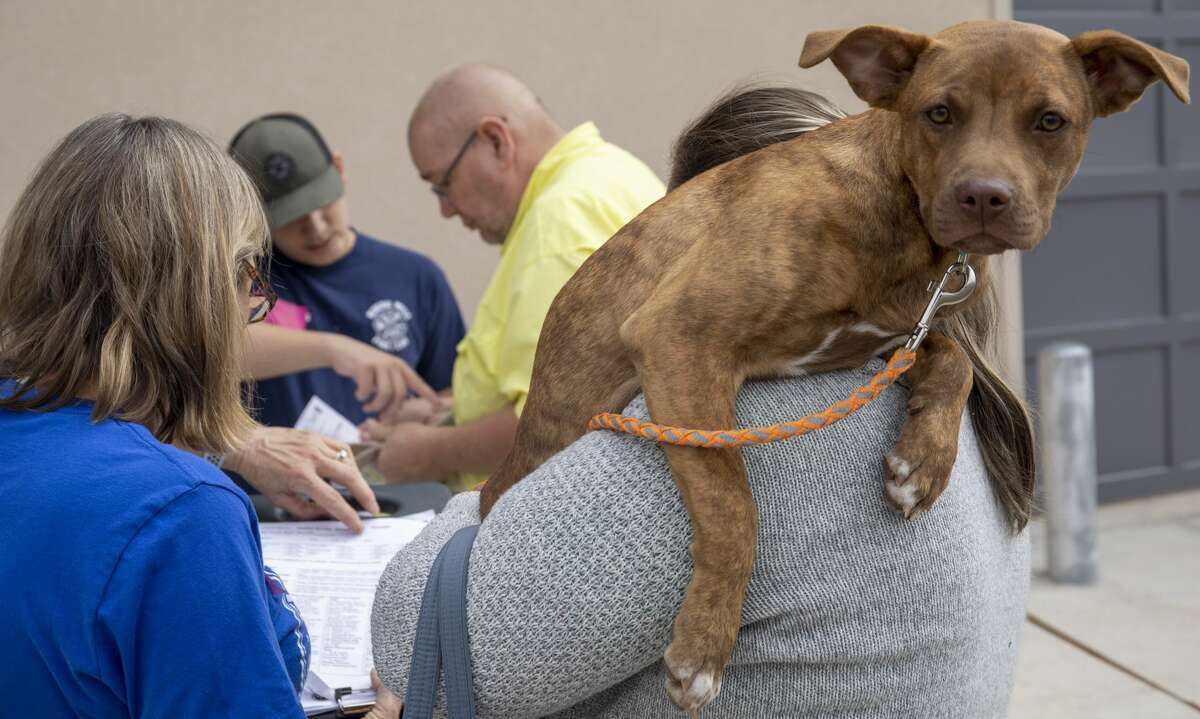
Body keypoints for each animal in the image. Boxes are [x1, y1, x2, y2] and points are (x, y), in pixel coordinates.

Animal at [475, 19, 1180, 715]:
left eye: (1050, 121)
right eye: (939, 113)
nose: (984, 197)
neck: (901, 220)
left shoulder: (892, 336)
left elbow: (955, 360)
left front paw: (923, 462)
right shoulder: (677, 335)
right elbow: (733, 502)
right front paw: (704, 643)